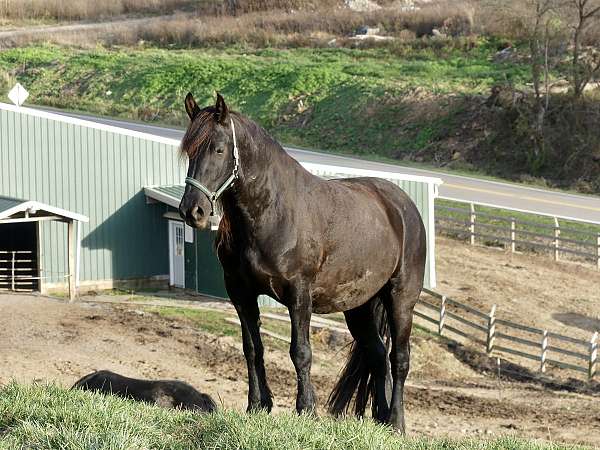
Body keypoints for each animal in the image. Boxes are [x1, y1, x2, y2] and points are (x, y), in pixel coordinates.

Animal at [178, 92, 426, 432]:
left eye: (218, 148)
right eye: (188, 150)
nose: (193, 211)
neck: (272, 212)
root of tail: (403, 206)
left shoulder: (299, 296)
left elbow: (301, 352)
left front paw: (306, 409)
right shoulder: (241, 294)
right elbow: (252, 349)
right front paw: (257, 406)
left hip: (400, 299)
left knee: (399, 359)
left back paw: (396, 422)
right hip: (359, 306)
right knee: (376, 356)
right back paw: (381, 418)